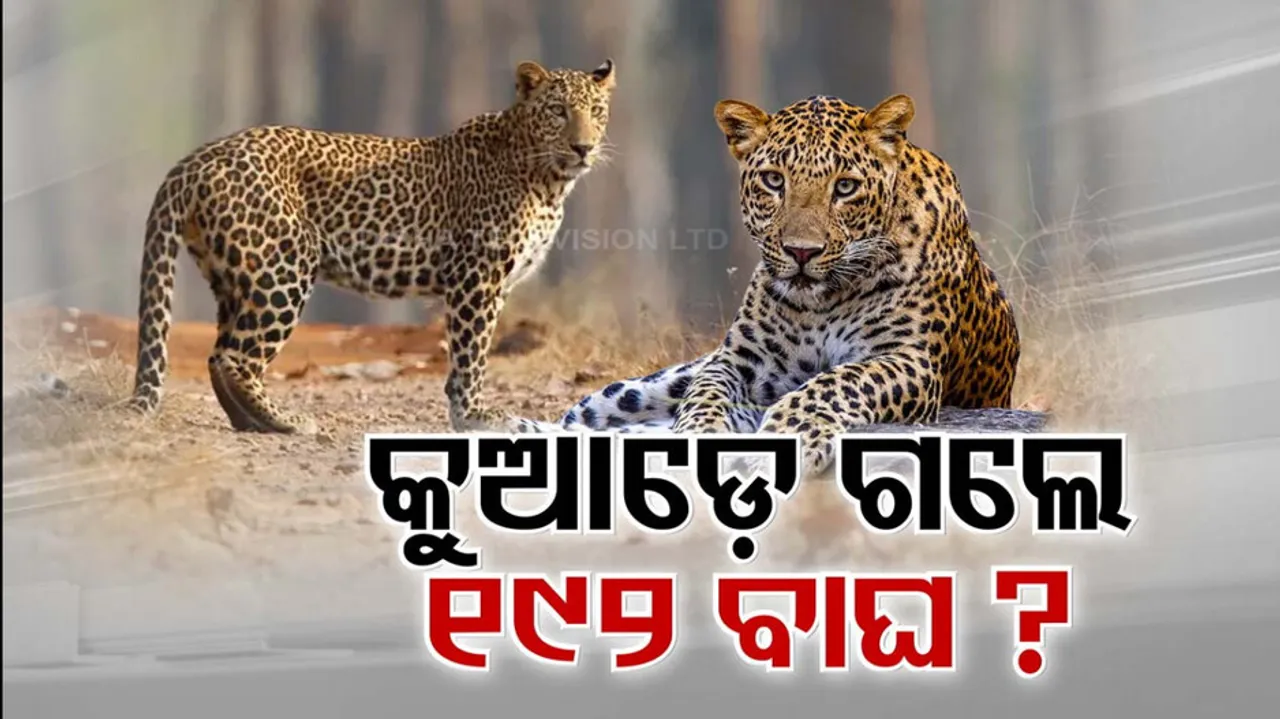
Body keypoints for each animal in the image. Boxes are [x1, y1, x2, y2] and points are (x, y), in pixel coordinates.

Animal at [128, 58, 618, 435]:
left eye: (596, 110)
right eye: (557, 110)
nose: (583, 147)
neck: (548, 180)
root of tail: (197, 158)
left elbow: (465, 356)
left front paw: (464, 413)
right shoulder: (477, 277)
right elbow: (471, 354)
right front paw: (475, 416)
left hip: (235, 276)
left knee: (218, 356)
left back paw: (252, 423)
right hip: (282, 270)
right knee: (235, 358)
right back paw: (288, 422)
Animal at [512, 92, 1046, 479]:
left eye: (845, 187)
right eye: (773, 180)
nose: (801, 252)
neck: (823, 301)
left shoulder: (908, 359)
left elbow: (834, 382)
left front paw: (793, 433)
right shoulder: (737, 359)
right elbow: (706, 394)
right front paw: (701, 433)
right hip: (629, 391)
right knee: (589, 420)